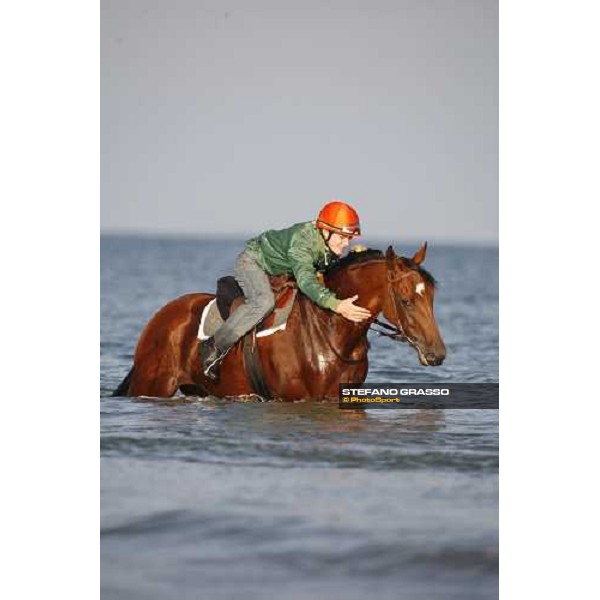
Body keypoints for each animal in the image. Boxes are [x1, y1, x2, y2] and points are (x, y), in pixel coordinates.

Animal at [111, 241, 446, 400]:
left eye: (432, 297)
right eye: (406, 300)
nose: (437, 354)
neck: (331, 332)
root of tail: (160, 317)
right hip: (152, 384)